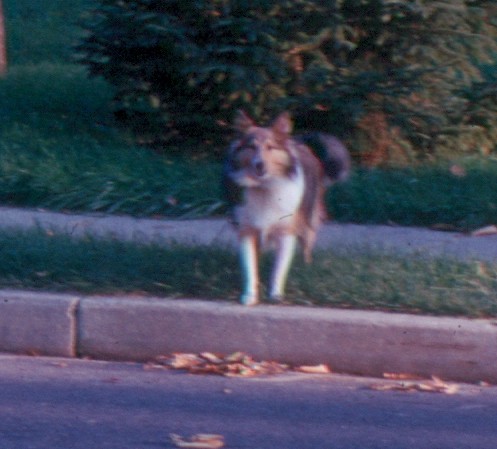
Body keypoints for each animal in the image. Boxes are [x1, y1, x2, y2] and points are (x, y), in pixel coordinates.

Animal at [221, 110, 348, 304]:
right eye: (251, 147)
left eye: (270, 147)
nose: (260, 164)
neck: (264, 186)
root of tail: (299, 142)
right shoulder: (247, 231)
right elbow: (250, 268)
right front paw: (250, 296)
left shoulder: (286, 232)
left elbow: (279, 269)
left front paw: (275, 295)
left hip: (308, 217)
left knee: (307, 243)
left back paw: (306, 267)